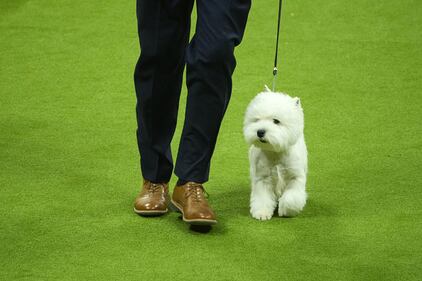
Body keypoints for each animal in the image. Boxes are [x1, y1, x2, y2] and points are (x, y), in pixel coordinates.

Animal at [244, 86, 306, 219]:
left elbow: (291, 198)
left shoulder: (295, 177)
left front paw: (286, 210)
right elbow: (262, 197)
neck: (275, 151)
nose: (260, 132)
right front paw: (262, 213)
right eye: (257, 119)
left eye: (276, 121)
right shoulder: (262, 177)